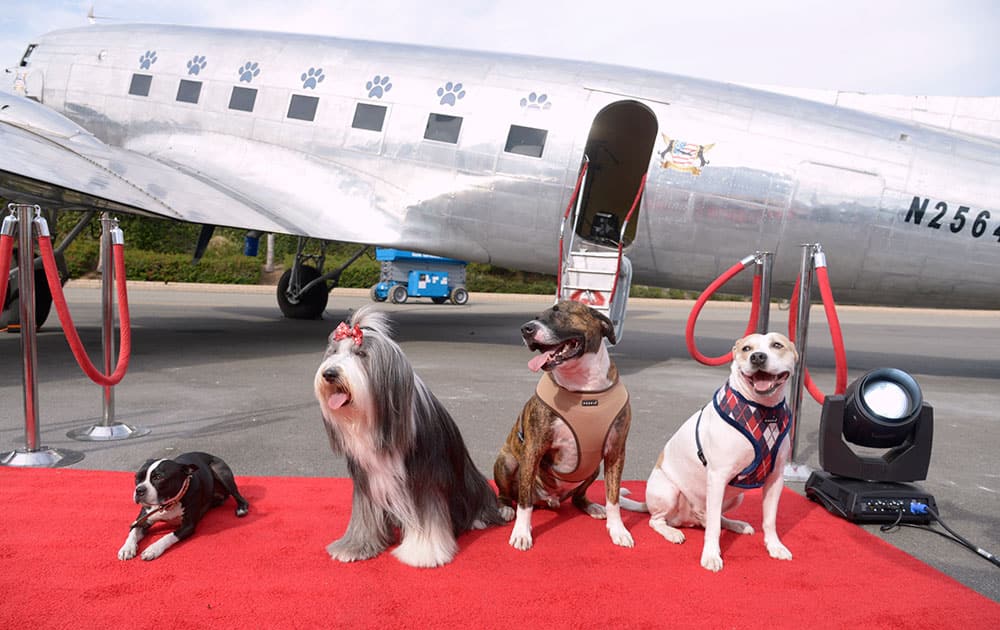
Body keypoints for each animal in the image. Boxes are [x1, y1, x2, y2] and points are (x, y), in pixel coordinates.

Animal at [624, 334, 796, 576]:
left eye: (777, 345)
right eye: (746, 348)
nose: (757, 357)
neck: (762, 410)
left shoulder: (775, 478)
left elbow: (769, 519)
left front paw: (775, 546)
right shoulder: (718, 477)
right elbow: (713, 528)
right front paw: (711, 556)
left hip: (735, 497)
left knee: (712, 518)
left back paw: (736, 524)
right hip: (669, 491)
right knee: (657, 521)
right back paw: (672, 532)